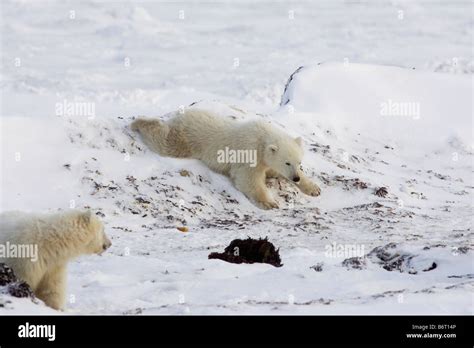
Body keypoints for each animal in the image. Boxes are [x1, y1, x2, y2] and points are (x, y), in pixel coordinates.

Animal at [131, 108, 320, 209]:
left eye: (299, 162)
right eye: (287, 162)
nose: (295, 177)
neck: (262, 138)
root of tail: (181, 115)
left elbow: (272, 171)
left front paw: (314, 188)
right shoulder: (249, 152)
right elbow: (248, 180)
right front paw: (269, 203)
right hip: (185, 139)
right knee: (164, 142)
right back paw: (139, 123)